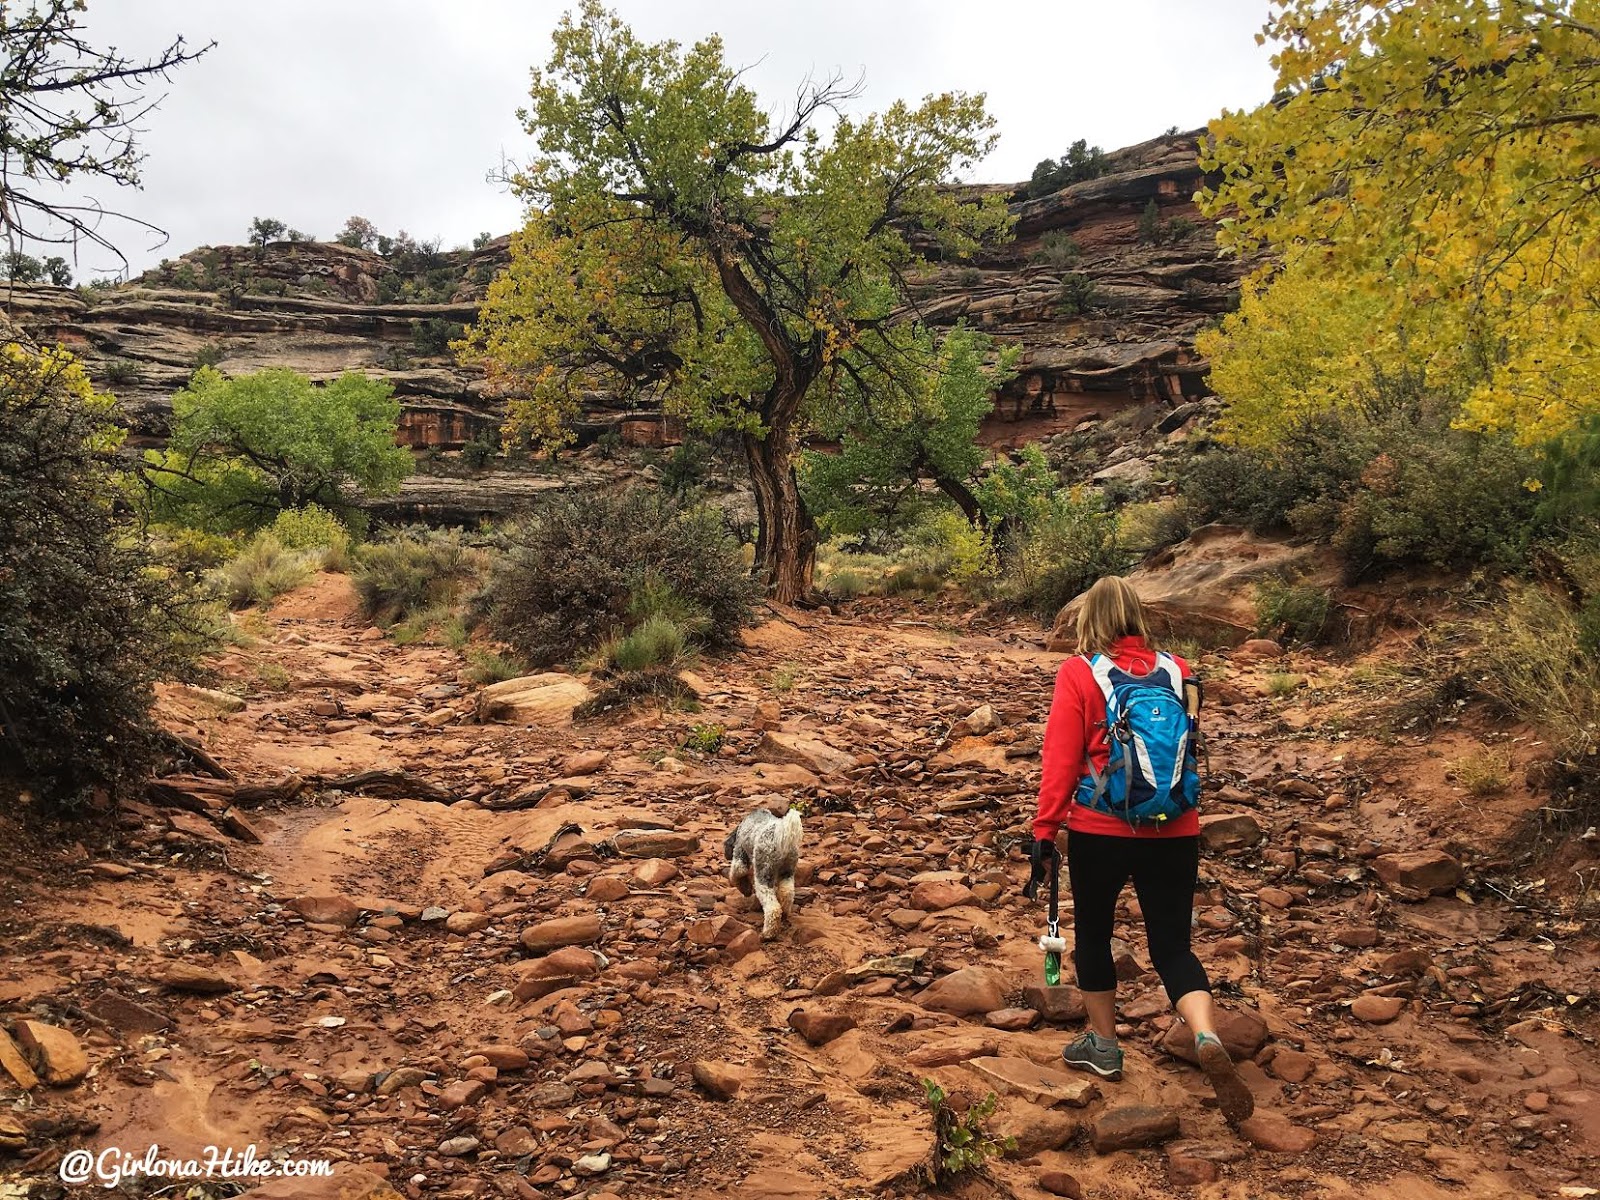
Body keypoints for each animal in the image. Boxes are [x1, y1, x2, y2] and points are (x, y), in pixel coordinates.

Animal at [723, 809, 800, 940]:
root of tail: (781, 834)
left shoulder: (740, 855)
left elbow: (736, 874)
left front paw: (745, 889)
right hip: (787, 872)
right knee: (787, 893)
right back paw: (784, 913)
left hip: (763, 873)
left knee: (773, 908)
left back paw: (768, 934)